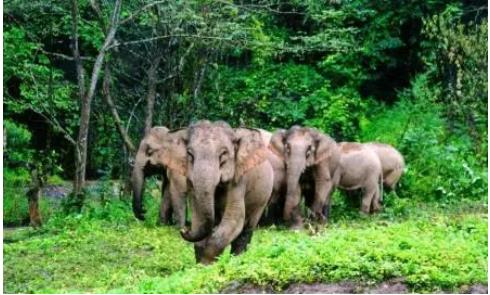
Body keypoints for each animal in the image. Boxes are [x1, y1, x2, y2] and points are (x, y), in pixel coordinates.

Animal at [155, 121, 274, 264]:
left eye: (223, 153)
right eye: (190, 154)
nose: (184, 230)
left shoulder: (239, 179)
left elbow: (234, 219)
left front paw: (207, 263)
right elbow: (198, 215)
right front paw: (201, 262)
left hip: (263, 196)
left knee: (246, 229)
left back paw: (237, 260)